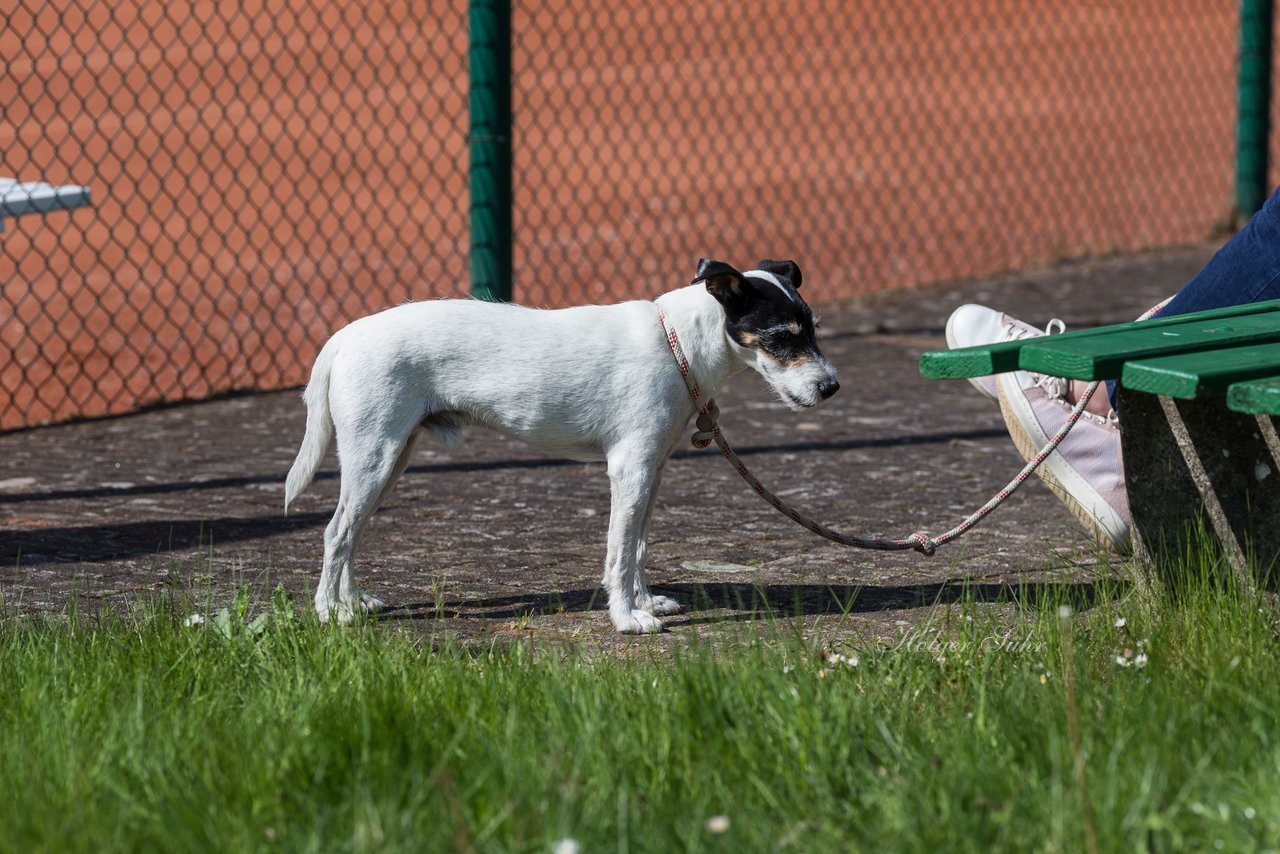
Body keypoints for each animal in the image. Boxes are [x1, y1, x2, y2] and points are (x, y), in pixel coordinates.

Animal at [284, 257, 834, 632]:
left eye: (813, 330)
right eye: (781, 337)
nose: (831, 387)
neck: (674, 343)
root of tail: (344, 336)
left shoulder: (651, 471)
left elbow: (638, 547)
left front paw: (644, 602)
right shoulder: (630, 470)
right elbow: (619, 552)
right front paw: (626, 618)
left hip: (388, 462)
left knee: (352, 535)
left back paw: (353, 601)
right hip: (373, 460)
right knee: (336, 533)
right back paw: (329, 611)